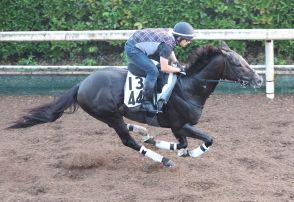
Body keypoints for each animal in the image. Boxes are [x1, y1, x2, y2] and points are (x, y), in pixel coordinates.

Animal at [8, 42, 262, 167]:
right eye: (238, 64)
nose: (259, 80)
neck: (188, 88)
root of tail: (81, 84)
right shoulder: (179, 124)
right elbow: (205, 140)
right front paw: (187, 153)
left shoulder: (177, 127)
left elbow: (182, 144)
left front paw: (165, 144)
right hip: (110, 114)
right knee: (127, 141)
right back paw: (163, 159)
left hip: (111, 115)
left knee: (128, 129)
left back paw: (143, 132)